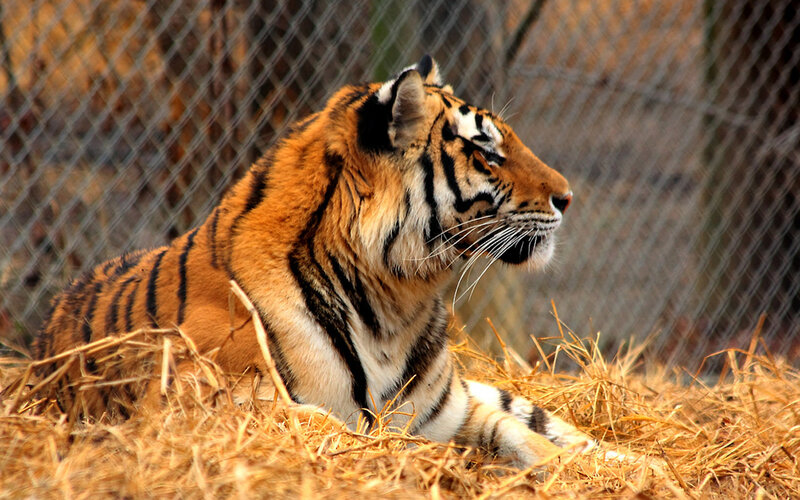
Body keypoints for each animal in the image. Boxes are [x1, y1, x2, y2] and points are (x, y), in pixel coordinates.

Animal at [34, 55, 621, 469]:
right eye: (486, 152)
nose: (568, 198)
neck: (394, 304)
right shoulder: (219, 408)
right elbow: (348, 436)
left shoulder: (450, 410)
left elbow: (518, 435)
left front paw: (596, 471)